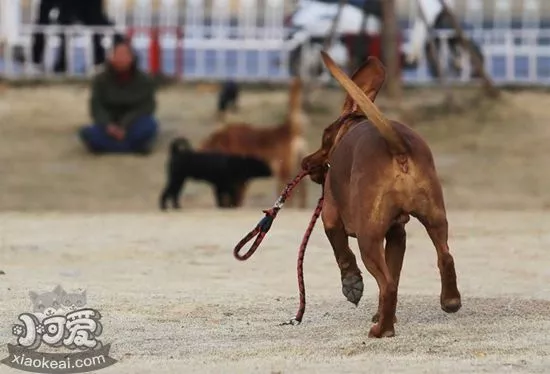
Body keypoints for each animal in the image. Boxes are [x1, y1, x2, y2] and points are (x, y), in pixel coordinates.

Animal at [304, 53, 464, 338]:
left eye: (324, 138)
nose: (305, 163)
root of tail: (397, 146)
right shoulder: (397, 234)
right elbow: (395, 273)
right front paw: (380, 312)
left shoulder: (330, 217)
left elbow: (342, 252)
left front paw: (352, 284)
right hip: (435, 218)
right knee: (444, 258)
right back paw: (449, 301)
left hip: (368, 238)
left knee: (387, 284)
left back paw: (382, 330)